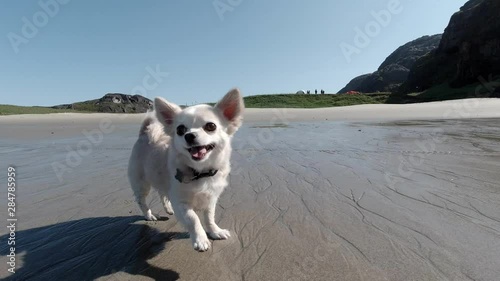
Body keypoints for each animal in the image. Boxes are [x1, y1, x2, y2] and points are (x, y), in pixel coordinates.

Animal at [128, 88, 243, 250]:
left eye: (211, 126)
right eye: (180, 130)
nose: (189, 135)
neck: (201, 172)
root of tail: (145, 133)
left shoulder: (210, 199)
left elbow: (209, 217)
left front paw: (215, 231)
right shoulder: (181, 202)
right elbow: (193, 218)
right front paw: (200, 239)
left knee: (162, 193)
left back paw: (168, 209)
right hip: (141, 183)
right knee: (141, 200)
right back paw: (149, 215)